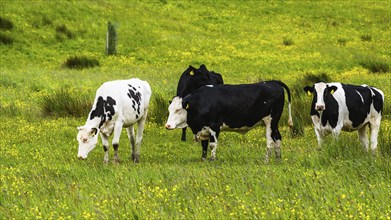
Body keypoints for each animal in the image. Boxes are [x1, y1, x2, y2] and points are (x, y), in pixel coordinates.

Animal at [165, 80, 294, 162]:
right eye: (169, 110)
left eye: (178, 110)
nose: (167, 125)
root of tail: (273, 82)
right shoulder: (204, 129)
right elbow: (204, 145)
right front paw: (203, 160)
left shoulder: (214, 126)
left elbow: (212, 145)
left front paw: (212, 160)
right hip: (274, 123)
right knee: (277, 138)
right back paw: (278, 159)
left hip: (270, 121)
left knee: (270, 141)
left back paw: (266, 160)